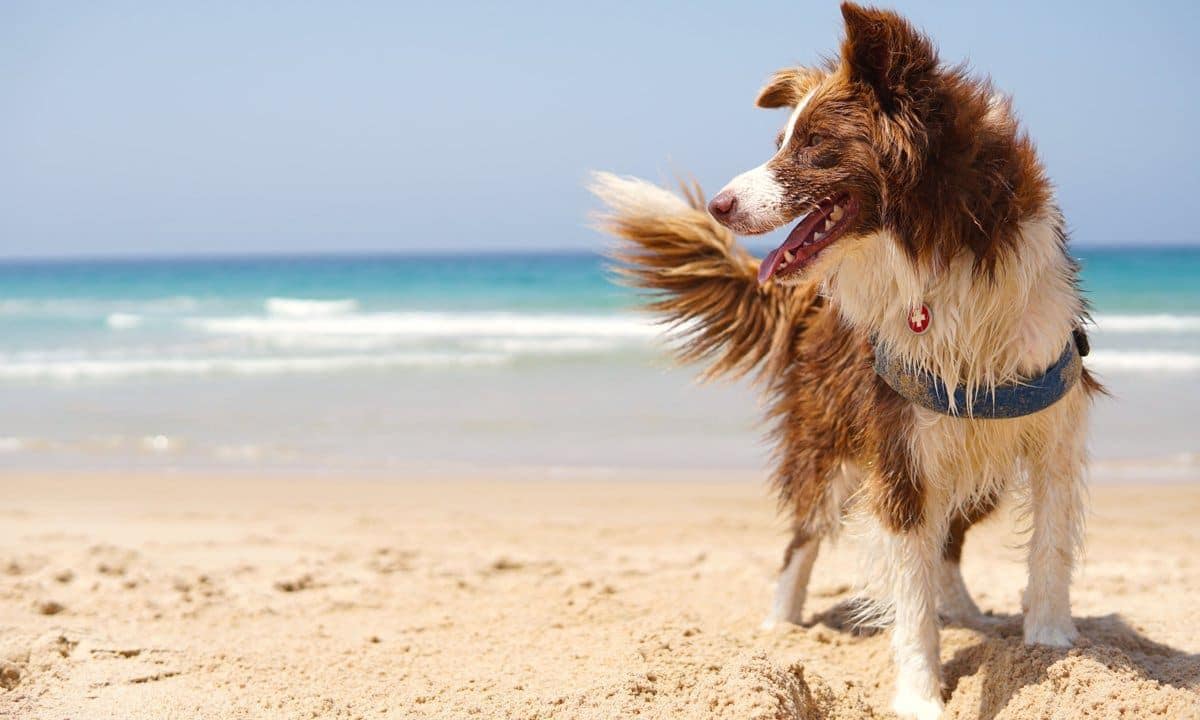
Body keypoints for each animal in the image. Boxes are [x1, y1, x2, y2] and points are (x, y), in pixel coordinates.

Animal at [588, 4, 1099, 715]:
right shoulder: (899, 445)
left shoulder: (1051, 422)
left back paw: (964, 611)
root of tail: (808, 299)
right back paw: (780, 623)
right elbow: (908, 596)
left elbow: (1048, 544)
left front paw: (1049, 642)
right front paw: (920, 695)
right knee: (803, 536)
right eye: (780, 140)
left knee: (948, 540)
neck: (938, 248)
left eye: (810, 145)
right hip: (826, 438)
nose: (718, 205)